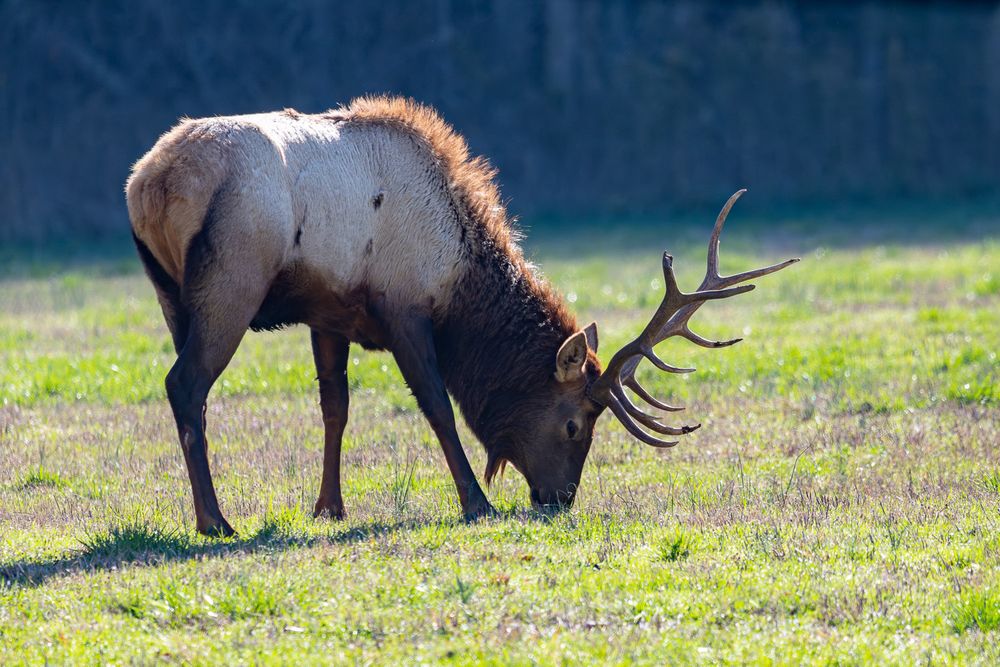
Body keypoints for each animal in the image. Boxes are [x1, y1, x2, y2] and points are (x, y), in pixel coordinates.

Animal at [126, 97, 798, 536]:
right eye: (576, 424)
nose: (559, 499)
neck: (459, 281)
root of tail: (149, 185)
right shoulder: (402, 307)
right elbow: (439, 406)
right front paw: (476, 501)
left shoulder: (328, 313)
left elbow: (334, 408)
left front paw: (329, 507)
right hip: (232, 280)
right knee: (185, 385)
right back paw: (214, 521)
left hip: (170, 295)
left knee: (192, 396)